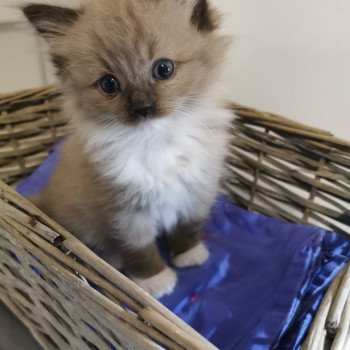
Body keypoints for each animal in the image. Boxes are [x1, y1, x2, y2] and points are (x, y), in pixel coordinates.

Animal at [23, 0, 232, 298]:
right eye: (109, 84)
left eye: (164, 69)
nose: (142, 109)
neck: (156, 144)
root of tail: (45, 201)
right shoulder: (126, 211)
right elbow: (140, 250)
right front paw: (156, 282)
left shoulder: (197, 190)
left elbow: (188, 228)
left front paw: (188, 257)